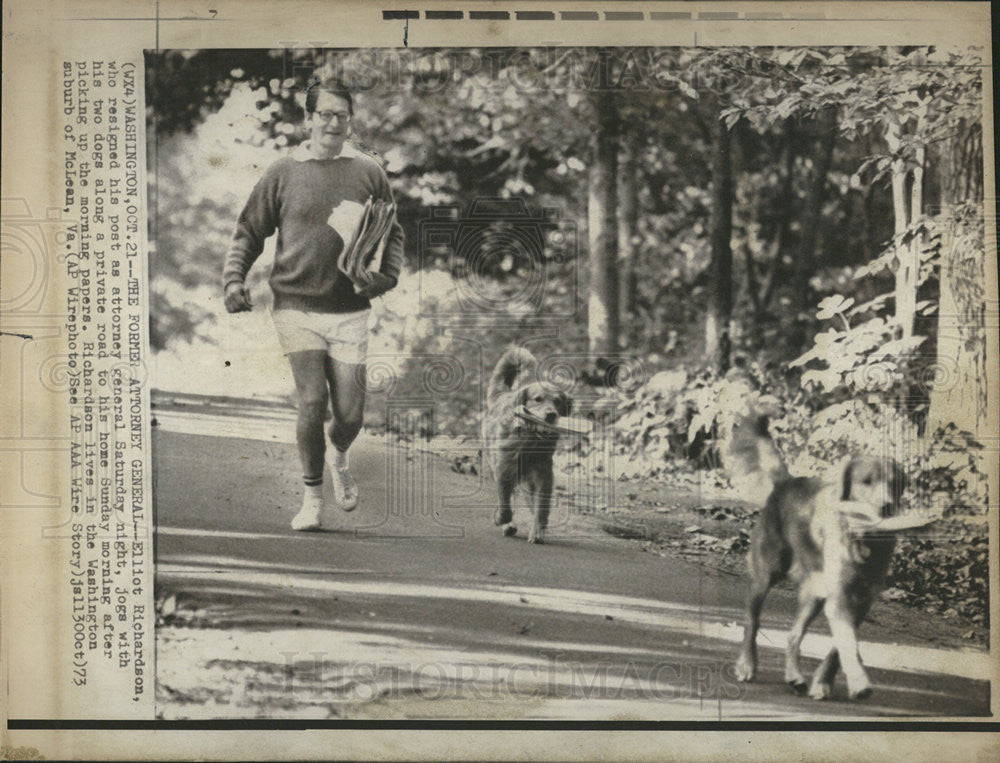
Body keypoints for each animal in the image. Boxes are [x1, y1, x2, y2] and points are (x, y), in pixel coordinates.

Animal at [482, 350, 572, 548]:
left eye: (558, 402)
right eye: (538, 399)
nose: (551, 414)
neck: (530, 440)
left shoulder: (543, 475)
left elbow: (541, 508)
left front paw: (538, 531)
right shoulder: (503, 469)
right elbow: (505, 505)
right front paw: (500, 519)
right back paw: (508, 524)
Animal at [728, 414, 908, 700]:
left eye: (894, 483)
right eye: (866, 481)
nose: (886, 506)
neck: (864, 540)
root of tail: (787, 482)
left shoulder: (862, 601)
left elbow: (838, 649)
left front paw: (823, 682)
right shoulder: (839, 597)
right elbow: (847, 644)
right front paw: (858, 681)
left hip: (813, 594)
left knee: (793, 636)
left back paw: (794, 676)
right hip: (765, 574)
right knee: (751, 622)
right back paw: (746, 664)